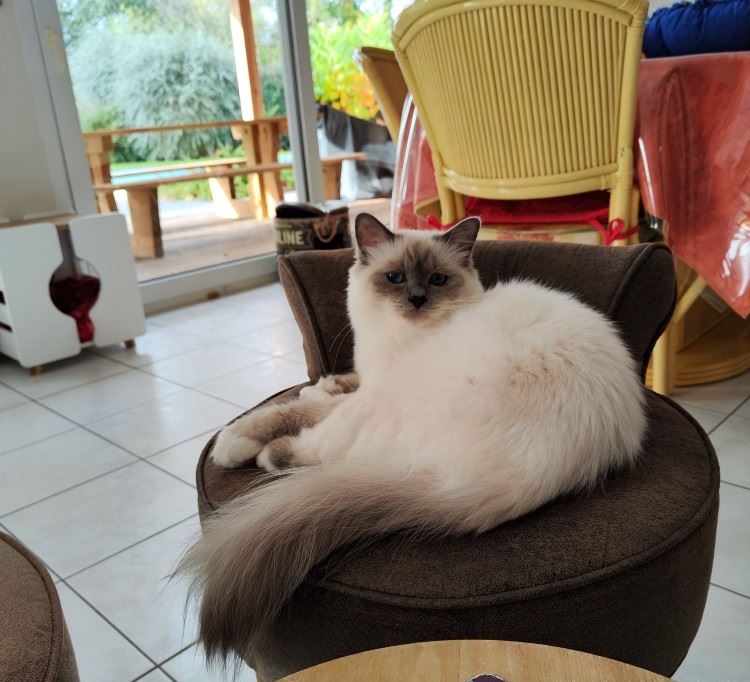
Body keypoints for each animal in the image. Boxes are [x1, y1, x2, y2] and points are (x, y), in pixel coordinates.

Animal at [179, 213, 647, 665]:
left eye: (437, 279)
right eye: (395, 278)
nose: (418, 299)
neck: (396, 340)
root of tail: (493, 485)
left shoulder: (369, 390)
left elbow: (293, 410)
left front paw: (235, 439)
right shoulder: (367, 376)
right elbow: (335, 383)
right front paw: (321, 385)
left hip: (381, 413)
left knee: (318, 451)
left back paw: (262, 454)